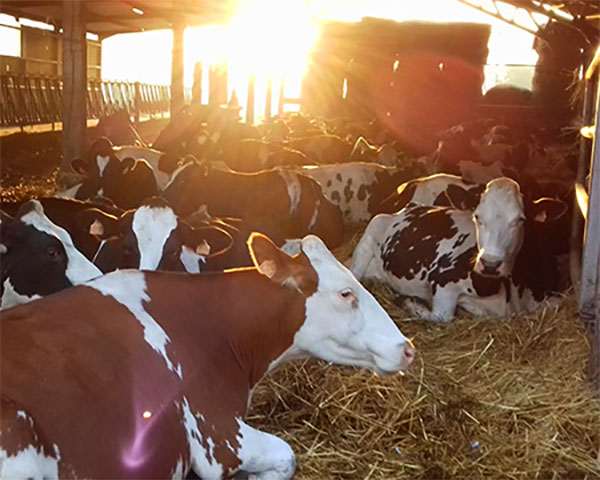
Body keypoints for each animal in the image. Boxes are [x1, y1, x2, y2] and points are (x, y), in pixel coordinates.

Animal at [352, 177, 568, 322]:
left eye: (521, 219)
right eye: (477, 216)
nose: (490, 264)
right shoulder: (443, 279)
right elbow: (442, 316)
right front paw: (408, 302)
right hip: (372, 231)